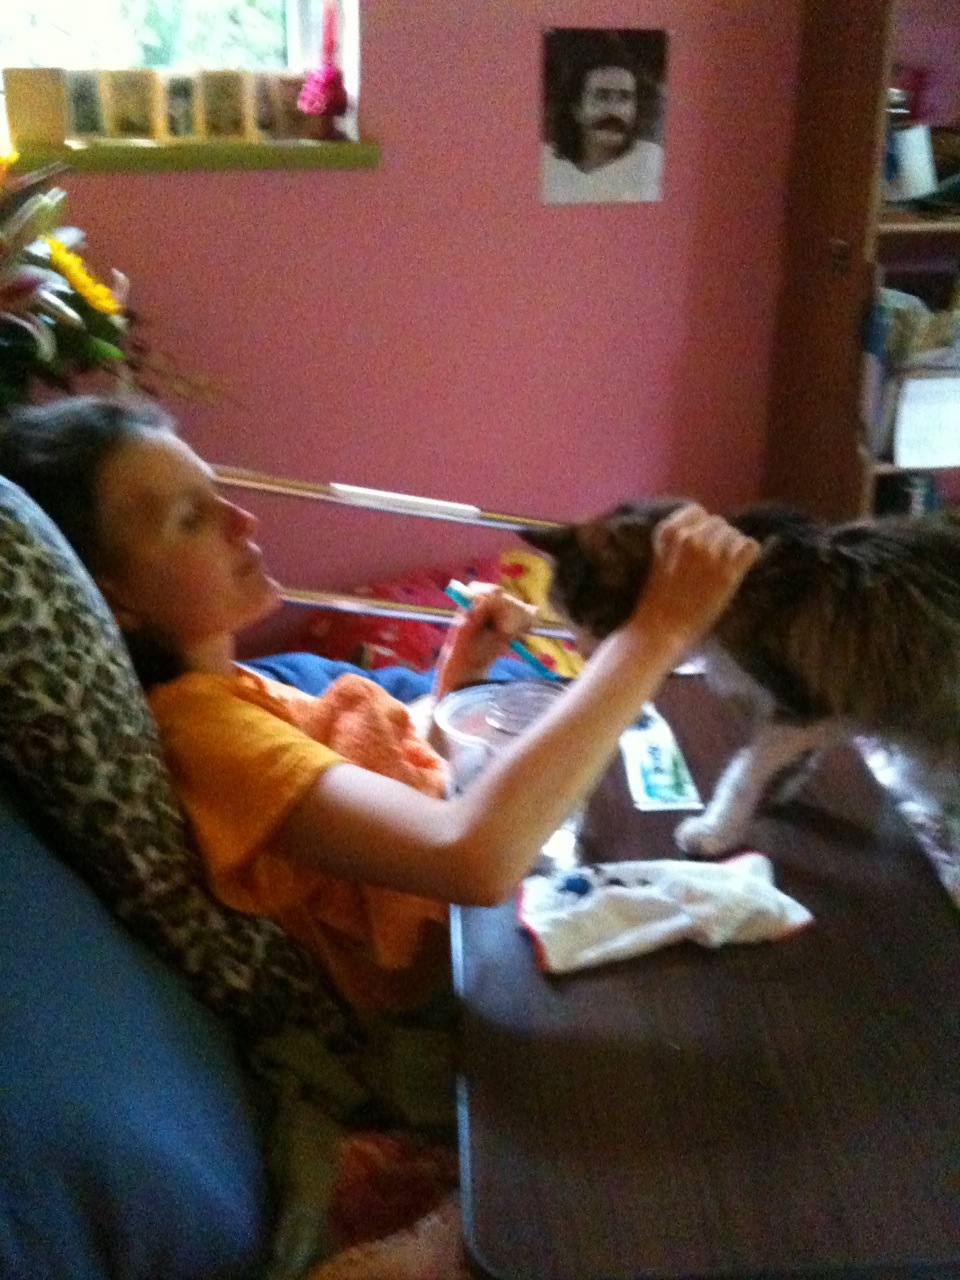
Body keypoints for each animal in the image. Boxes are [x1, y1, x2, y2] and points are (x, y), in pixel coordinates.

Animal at [523, 498, 960, 857]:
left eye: (599, 626)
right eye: (568, 623)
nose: (585, 656)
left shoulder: (806, 703)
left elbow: (746, 768)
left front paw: (716, 830)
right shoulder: (826, 702)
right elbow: (789, 759)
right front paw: (776, 792)